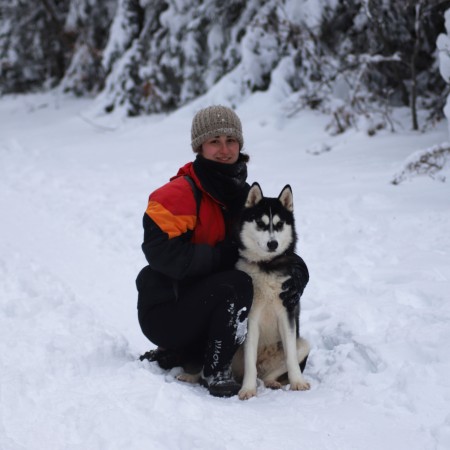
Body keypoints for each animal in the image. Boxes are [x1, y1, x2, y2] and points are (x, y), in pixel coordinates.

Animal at [232, 183, 310, 400]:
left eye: (280, 224)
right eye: (260, 223)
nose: (273, 243)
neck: (267, 266)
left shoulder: (287, 311)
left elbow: (291, 356)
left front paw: (298, 382)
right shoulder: (251, 318)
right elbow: (250, 360)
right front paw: (248, 389)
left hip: (303, 345)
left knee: (268, 373)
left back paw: (272, 382)